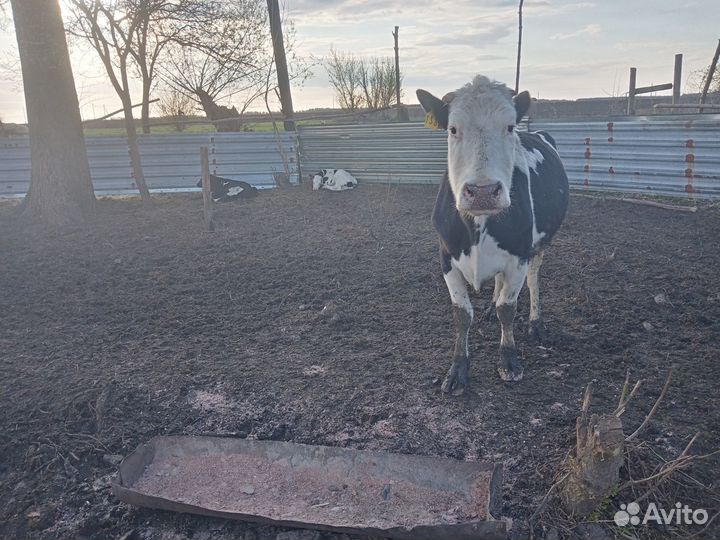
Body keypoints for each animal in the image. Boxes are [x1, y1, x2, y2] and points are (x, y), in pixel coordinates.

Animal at [416, 75, 569, 394]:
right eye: (452, 128)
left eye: (510, 127)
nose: (483, 191)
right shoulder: (446, 255)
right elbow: (462, 314)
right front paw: (458, 369)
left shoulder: (519, 255)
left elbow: (507, 308)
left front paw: (508, 359)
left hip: (540, 245)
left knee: (534, 280)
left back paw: (536, 323)